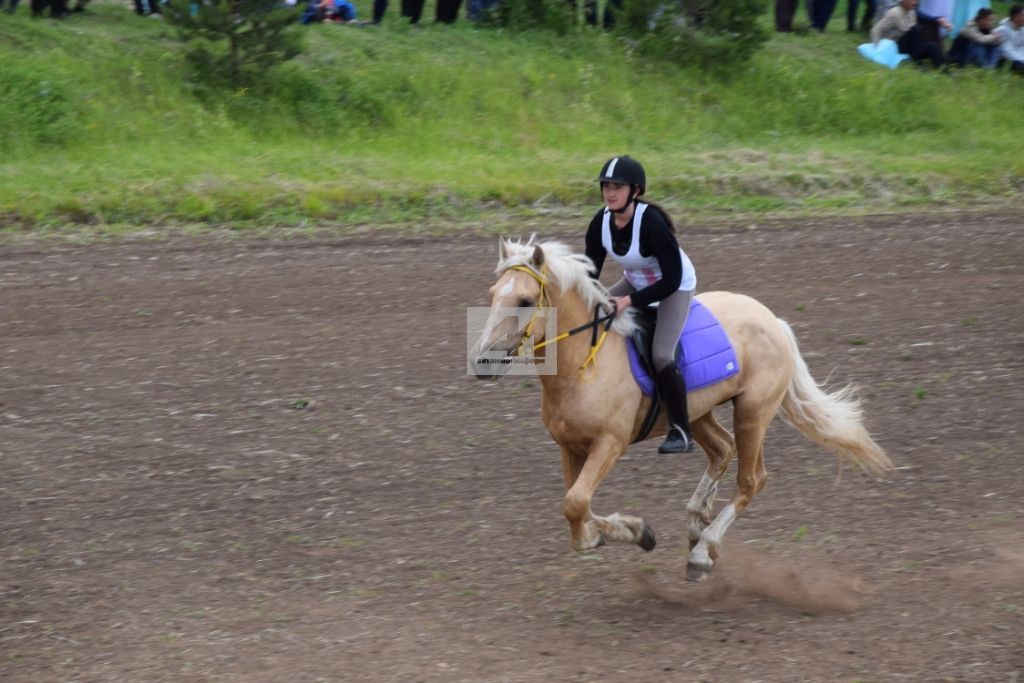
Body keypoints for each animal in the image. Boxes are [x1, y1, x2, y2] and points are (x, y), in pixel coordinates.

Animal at [468, 237, 892, 581]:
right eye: (492, 293)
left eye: (525, 301)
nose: (483, 362)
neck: (585, 363)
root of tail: (775, 321)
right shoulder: (569, 447)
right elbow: (577, 510)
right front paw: (632, 532)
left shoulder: (610, 443)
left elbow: (575, 504)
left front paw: (631, 532)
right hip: (697, 412)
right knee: (722, 450)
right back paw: (696, 521)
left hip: (752, 412)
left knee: (751, 479)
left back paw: (703, 551)